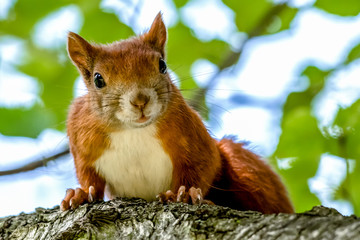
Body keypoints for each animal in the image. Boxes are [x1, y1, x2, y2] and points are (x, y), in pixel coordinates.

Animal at [60, 12, 294, 214]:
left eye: (162, 65)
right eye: (98, 79)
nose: (140, 100)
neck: (133, 131)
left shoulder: (192, 134)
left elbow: (203, 165)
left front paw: (187, 193)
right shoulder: (80, 137)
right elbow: (89, 177)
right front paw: (79, 194)